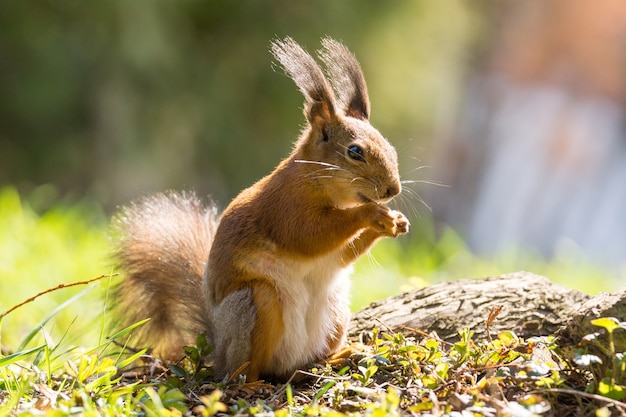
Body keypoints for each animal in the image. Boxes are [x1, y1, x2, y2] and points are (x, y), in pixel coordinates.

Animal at [112, 37, 410, 382]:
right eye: (355, 152)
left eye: (391, 147)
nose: (392, 190)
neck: (317, 180)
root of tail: (217, 349)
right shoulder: (283, 208)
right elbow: (311, 236)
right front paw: (372, 215)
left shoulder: (330, 249)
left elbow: (342, 254)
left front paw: (395, 222)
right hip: (253, 306)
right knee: (249, 366)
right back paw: (252, 384)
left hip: (336, 311)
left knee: (306, 362)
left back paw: (337, 356)